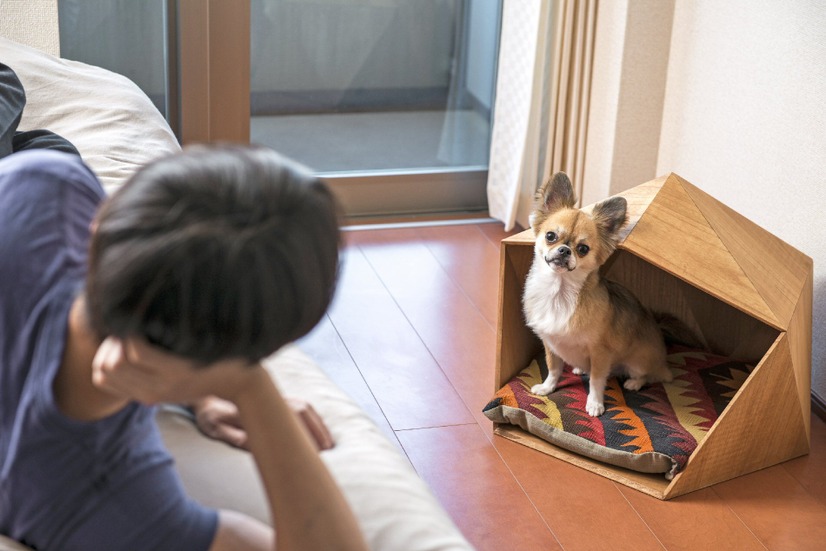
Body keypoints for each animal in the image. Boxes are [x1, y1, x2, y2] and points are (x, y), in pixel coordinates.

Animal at [524, 172, 672, 418]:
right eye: (551, 236)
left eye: (583, 249)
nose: (564, 250)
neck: (559, 292)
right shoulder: (550, 344)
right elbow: (554, 368)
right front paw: (547, 387)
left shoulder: (600, 353)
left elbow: (596, 379)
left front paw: (595, 403)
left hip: (639, 362)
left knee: (646, 375)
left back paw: (634, 383)